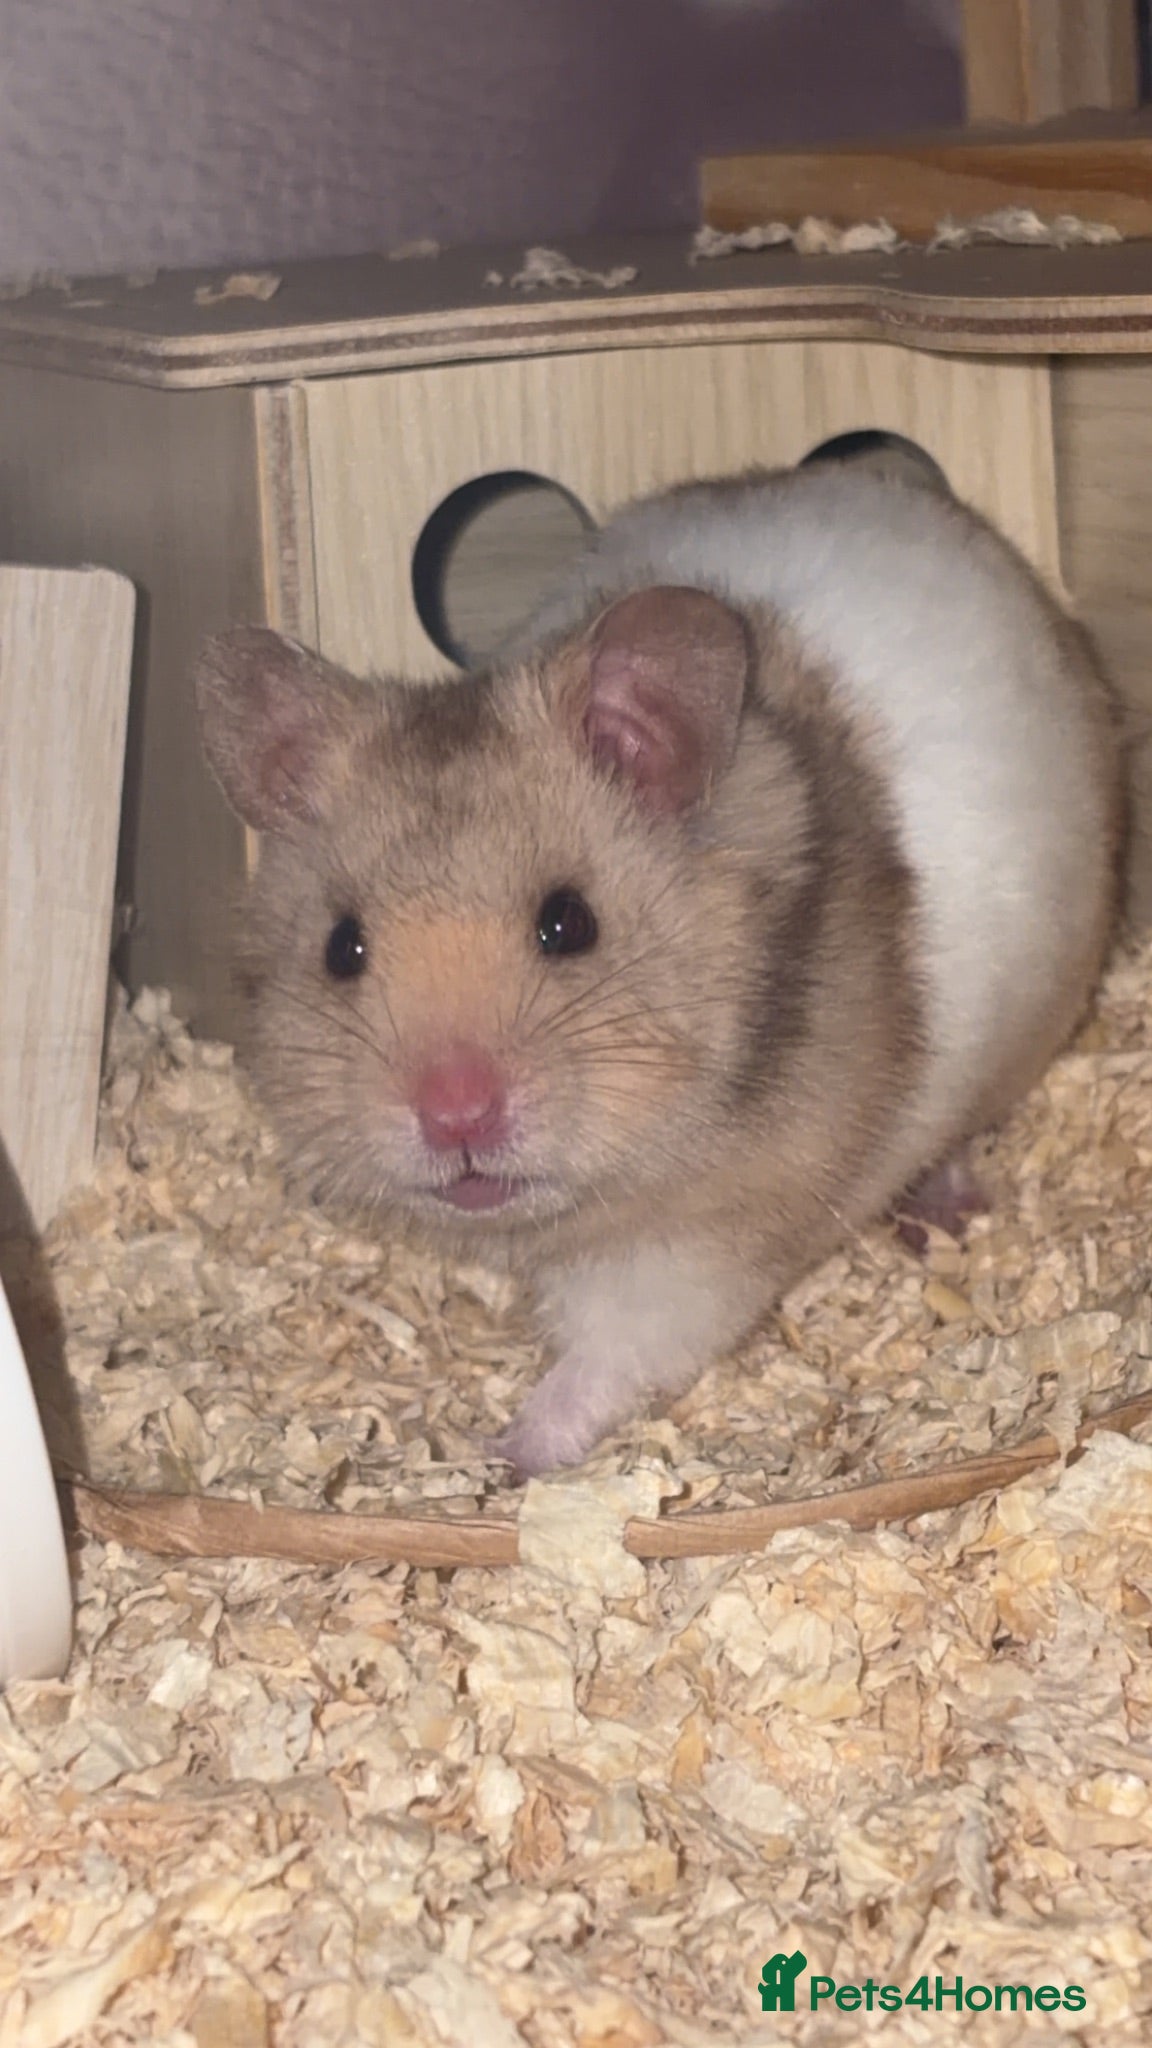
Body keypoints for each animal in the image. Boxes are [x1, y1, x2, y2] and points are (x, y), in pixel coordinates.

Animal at [194, 463, 1123, 1479]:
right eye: (343, 947)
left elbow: (605, 1364)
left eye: (569, 923)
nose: (455, 1117)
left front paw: (499, 1457)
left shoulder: (699, 1251)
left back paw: (943, 1211)